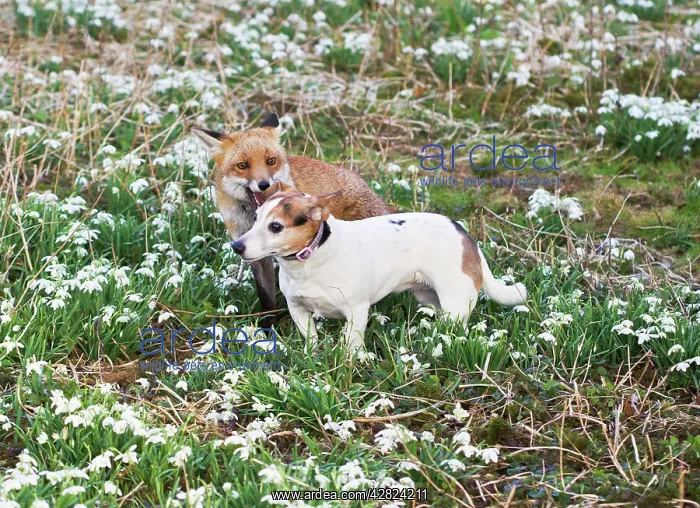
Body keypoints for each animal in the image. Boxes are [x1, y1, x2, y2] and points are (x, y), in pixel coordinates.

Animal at [193, 113, 391, 327]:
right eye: (242, 165)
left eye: (271, 161)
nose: (264, 185)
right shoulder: (253, 253)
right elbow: (266, 295)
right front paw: (268, 326)